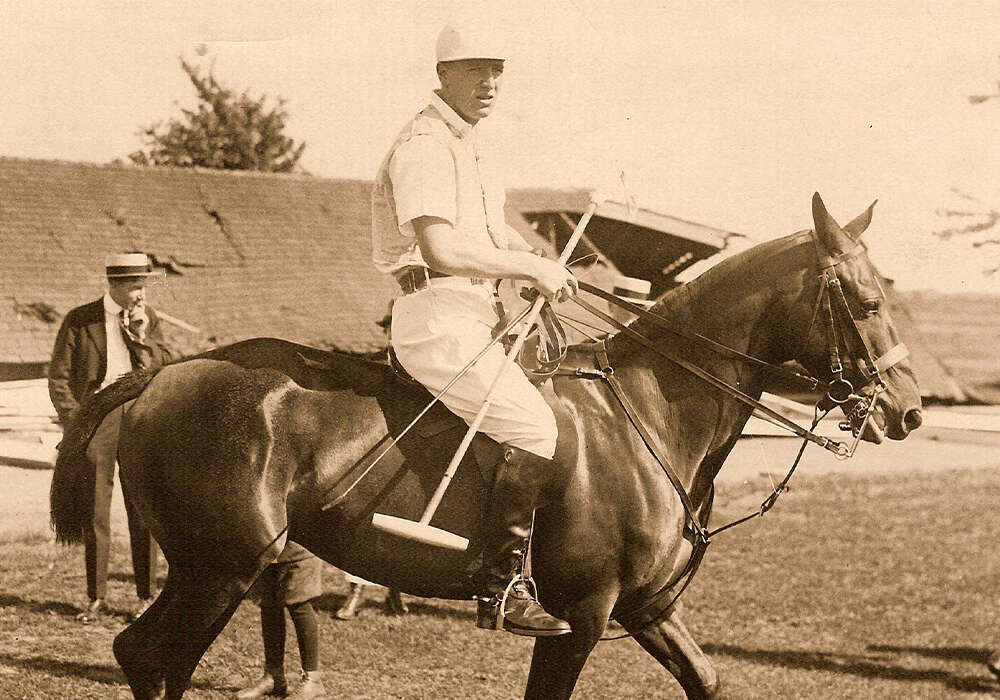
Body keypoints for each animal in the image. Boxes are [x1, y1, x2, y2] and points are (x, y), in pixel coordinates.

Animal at [50, 194, 916, 696]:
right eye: (868, 300)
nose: (905, 411)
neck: (651, 417)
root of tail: (164, 372)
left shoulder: (648, 610)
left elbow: (707, 681)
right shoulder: (583, 617)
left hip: (211, 569)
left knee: (157, 660)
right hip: (220, 567)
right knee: (149, 656)